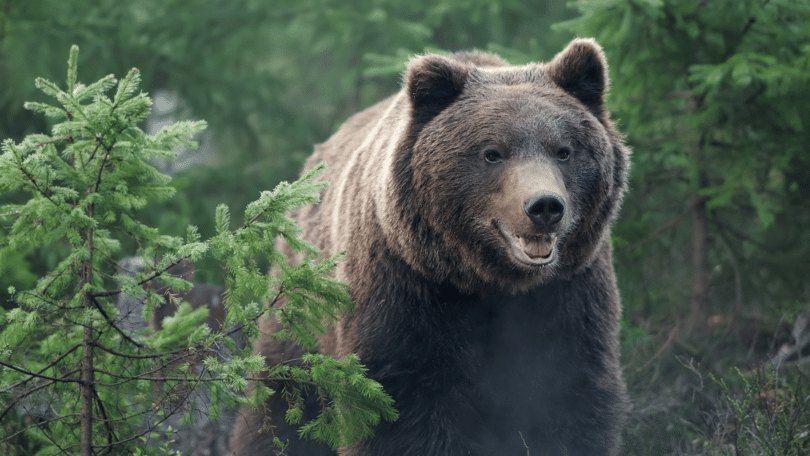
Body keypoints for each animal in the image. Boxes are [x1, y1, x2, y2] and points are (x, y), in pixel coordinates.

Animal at [230, 38, 628, 456]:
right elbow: (398, 410)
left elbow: (570, 401)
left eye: (564, 150)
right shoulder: (406, 289)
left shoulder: (569, 295)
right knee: (280, 401)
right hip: (302, 315)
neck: (492, 282)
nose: (545, 206)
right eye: (492, 153)